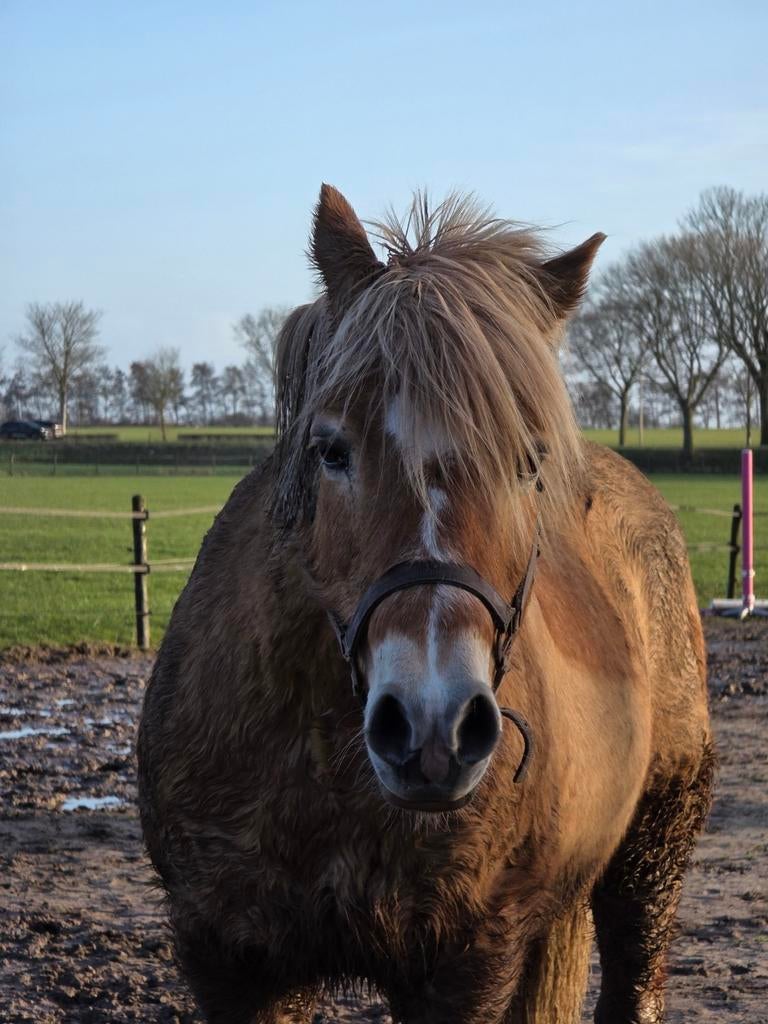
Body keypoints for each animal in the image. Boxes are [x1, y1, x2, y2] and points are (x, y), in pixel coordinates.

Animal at [137, 185, 714, 1024]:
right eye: (331, 449)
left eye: (527, 463)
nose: (433, 728)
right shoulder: (233, 963)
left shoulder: (464, 968)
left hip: (652, 857)